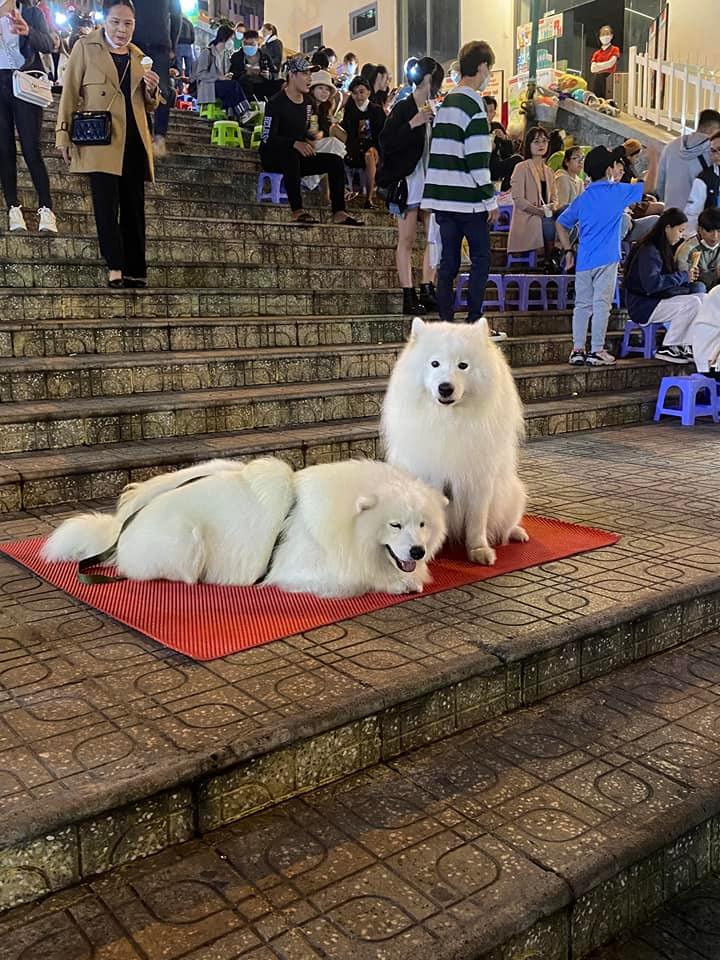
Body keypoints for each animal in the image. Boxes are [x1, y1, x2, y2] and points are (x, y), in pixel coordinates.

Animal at [42, 456, 448, 596]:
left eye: (422, 524)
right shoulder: (307, 568)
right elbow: (361, 579)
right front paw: (397, 584)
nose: (417, 551)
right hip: (186, 540)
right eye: (394, 525)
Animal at [382, 318, 528, 568]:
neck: (449, 419)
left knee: (505, 525)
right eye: (435, 363)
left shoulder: (480, 478)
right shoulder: (431, 475)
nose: (445, 387)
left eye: (463, 366)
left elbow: (478, 521)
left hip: (512, 494)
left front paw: (479, 550)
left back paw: (516, 533)